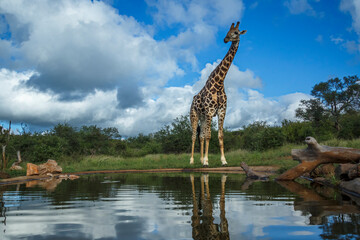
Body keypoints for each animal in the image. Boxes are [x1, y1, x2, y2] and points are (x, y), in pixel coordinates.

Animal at [190, 21, 246, 166]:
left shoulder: (222, 111)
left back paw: (199, 159)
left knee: (201, 136)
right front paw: (206, 161)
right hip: (194, 116)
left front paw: (223, 160)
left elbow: (219, 136)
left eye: (236, 32)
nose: (225, 39)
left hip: (203, 118)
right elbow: (209, 136)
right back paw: (192, 160)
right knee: (194, 136)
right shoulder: (210, 111)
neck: (219, 83)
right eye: (227, 31)